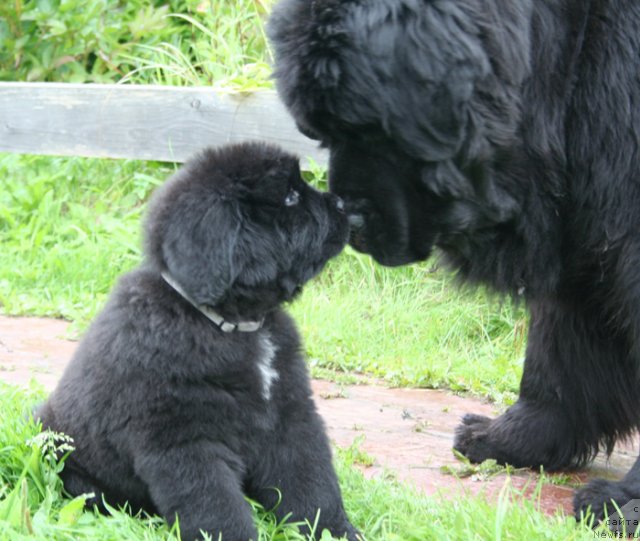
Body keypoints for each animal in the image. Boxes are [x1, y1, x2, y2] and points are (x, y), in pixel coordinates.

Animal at [36, 142, 360, 540]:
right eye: (289, 196)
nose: (343, 203)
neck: (234, 325)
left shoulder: (290, 415)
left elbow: (312, 485)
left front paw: (337, 531)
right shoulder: (185, 442)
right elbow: (218, 509)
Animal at [268, 0, 640, 524]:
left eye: (370, 129)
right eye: (319, 134)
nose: (349, 218)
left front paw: (622, 501)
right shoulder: (584, 210)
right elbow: (560, 344)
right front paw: (506, 437)